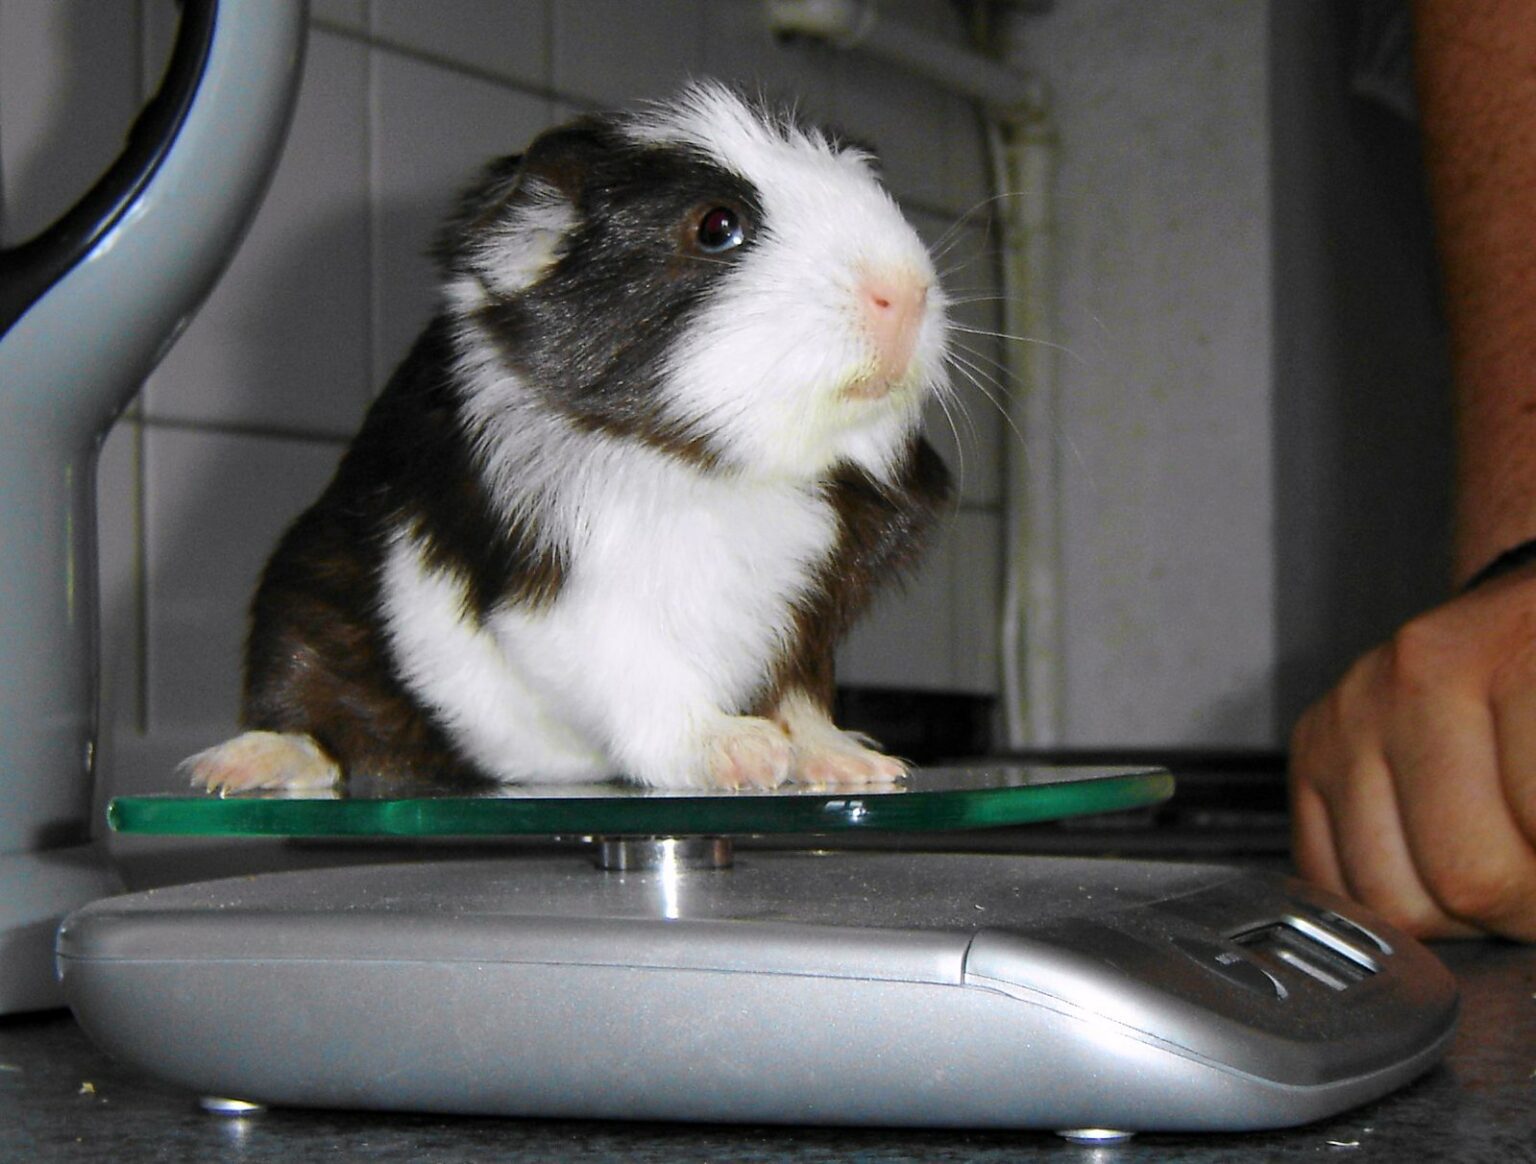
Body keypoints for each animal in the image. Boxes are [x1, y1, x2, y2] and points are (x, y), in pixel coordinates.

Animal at [183, 83, 952, 794]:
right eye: (717, 225)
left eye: (875, 191)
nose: (907, 290)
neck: (732, 472)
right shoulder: (568, 598)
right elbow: (645, 677)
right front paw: (745, 756)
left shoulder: (814, 606)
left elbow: (800, 694)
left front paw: (862, 766)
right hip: (297, 602)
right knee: (304, 718)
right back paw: (230, 769)